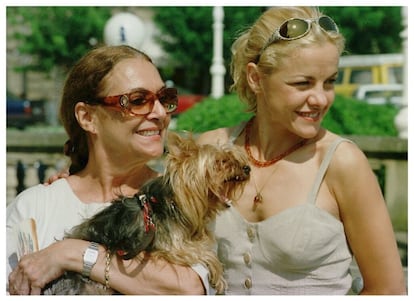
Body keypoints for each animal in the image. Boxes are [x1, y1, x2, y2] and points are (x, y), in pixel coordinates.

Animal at [42, 131, 249, 292]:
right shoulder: (172, 246)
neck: (174, 202)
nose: (247, 168)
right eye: (221, 162)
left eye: (236, 158)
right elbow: (205, 253)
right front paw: (219, 276)